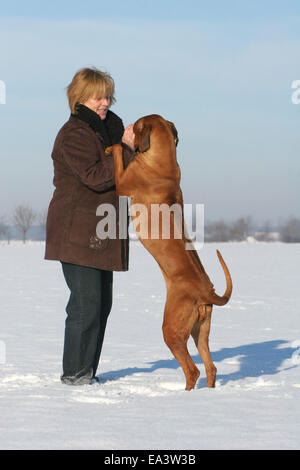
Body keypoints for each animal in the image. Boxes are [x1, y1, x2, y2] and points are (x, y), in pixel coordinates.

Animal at [105, 113, 232, 390]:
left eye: (137, 125)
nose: (127, 126)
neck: (163, 160)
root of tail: (206, 291)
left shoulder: (123, 183)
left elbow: (120, 153)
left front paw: (113, 147)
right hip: (200, 330)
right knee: (211, 367)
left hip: (171, 329)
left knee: (192, 370)